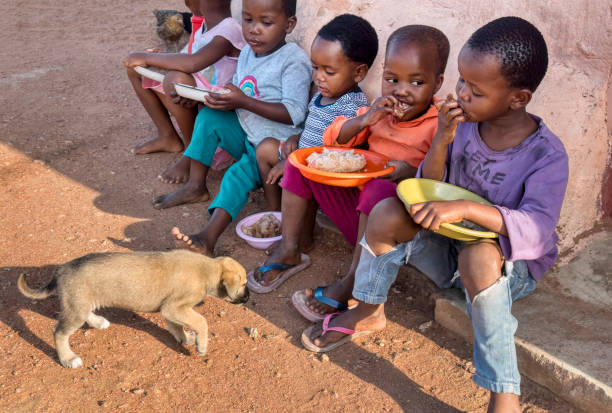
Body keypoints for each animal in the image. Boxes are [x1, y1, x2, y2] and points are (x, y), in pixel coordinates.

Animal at [19, 248, 249, 366]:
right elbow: (201, 321)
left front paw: (185, 338)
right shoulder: (174, 307)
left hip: (80, 305)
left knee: (85, 315)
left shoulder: (170, 309)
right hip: (75, 310)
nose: (248, 298)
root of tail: (61, 270)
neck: (208, 269)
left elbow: (176, 326)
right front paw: (201, 345)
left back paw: (98, 322)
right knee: (58, 332)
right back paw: (68, 359)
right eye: (244, 284)